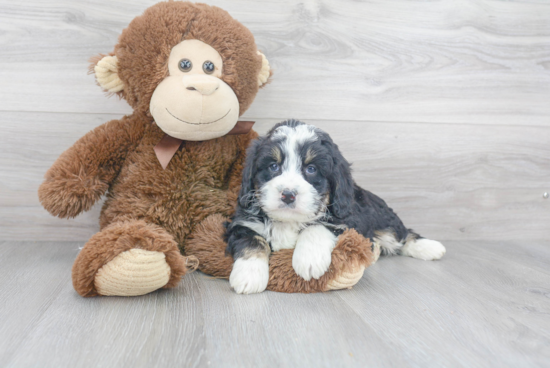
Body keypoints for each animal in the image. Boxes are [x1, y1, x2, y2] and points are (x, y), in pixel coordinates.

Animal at [226, 120, 446, 294]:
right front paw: (249, 275)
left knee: (401, 234)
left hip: (382, 218)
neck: (289, 221)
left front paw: (309, 260)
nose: (288, 194)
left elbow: (319, 226)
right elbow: (253, 241)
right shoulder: (242, 223)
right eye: (273, 166)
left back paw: (430, 247)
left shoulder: (350, 221)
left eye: (311, 169)